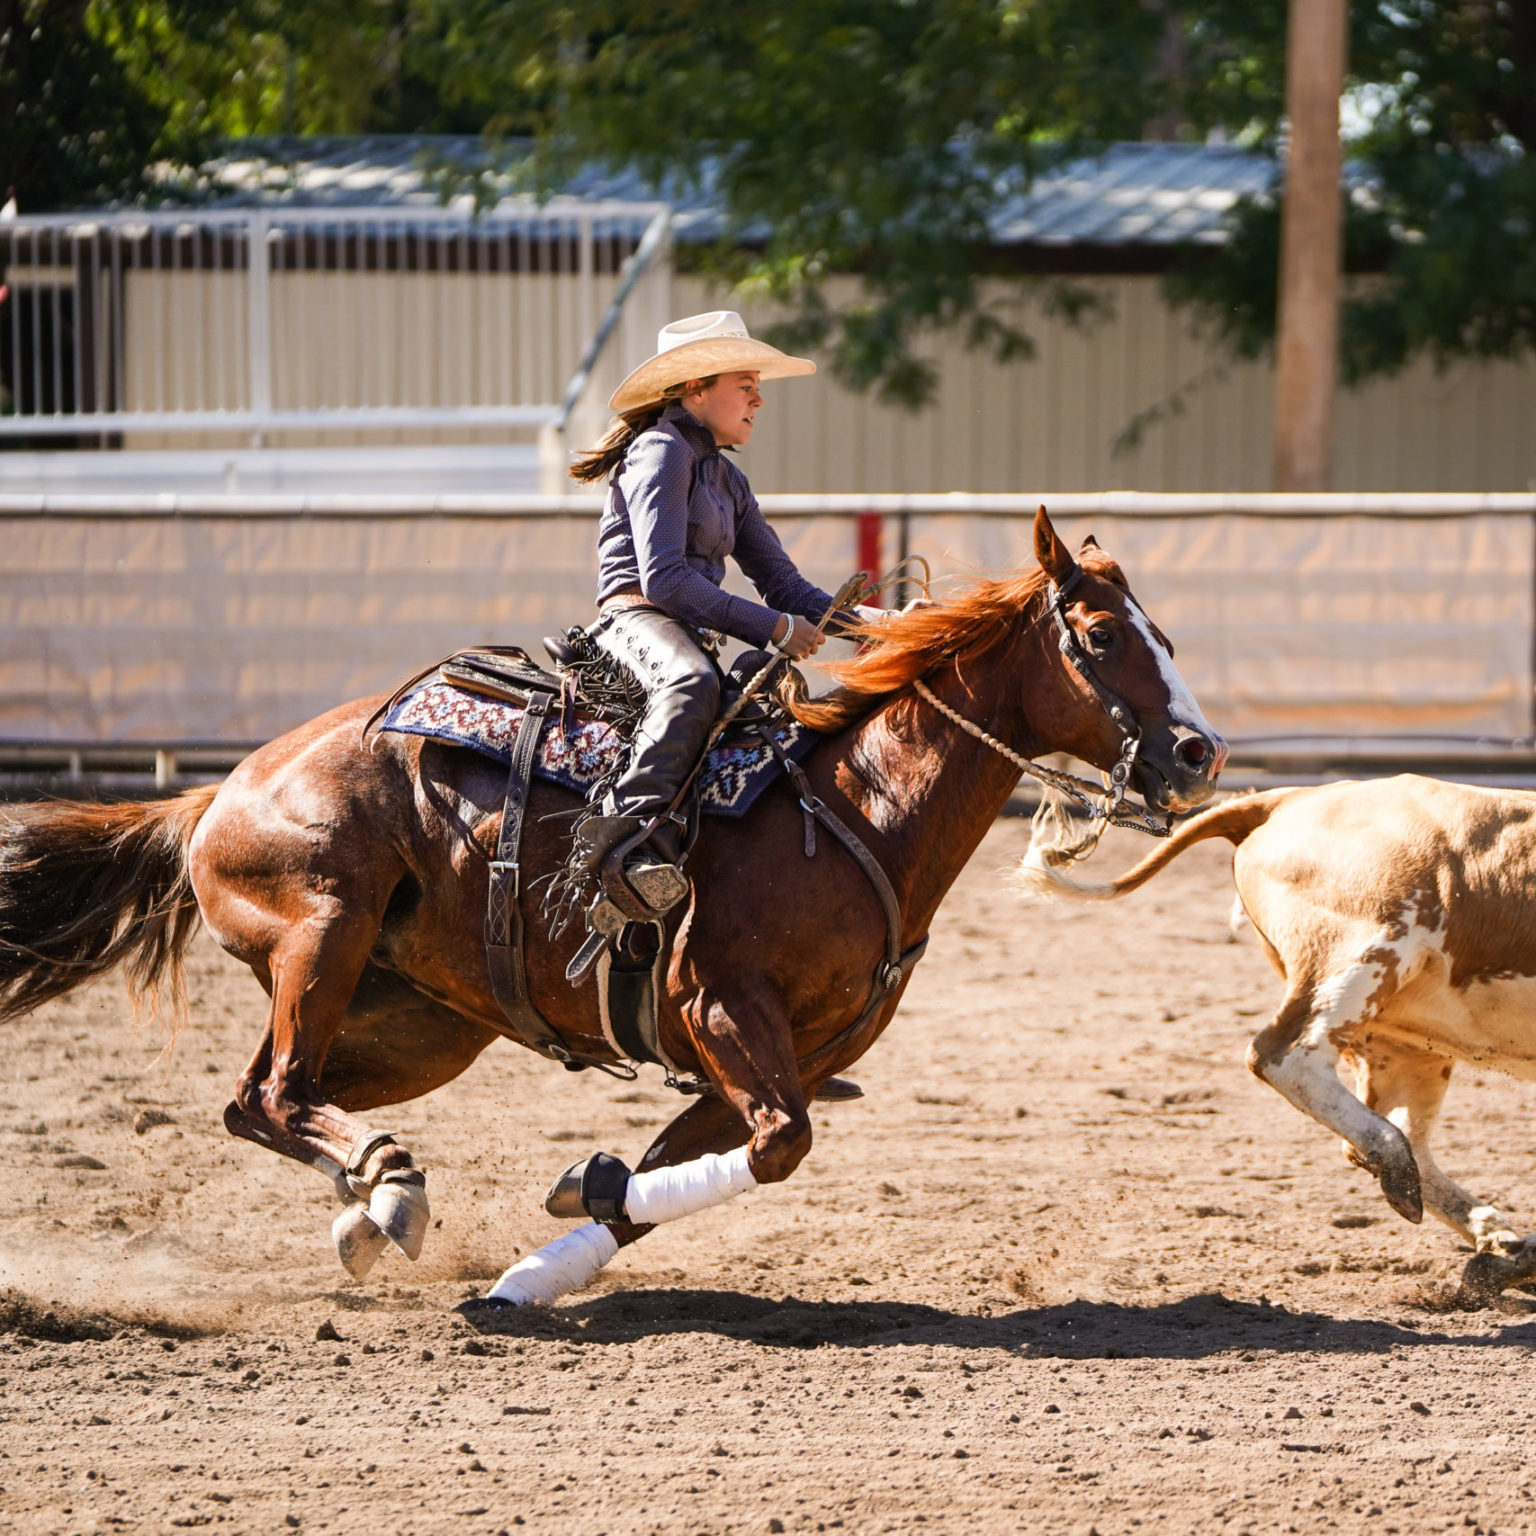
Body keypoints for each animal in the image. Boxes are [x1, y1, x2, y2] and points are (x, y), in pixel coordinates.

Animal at [0, 509, 1222, 1302]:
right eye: (1104, 636)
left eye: (1167, 635)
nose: (1200, 753)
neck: (856, 811)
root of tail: (220, 790)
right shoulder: (726, 1012)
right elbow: (780, 1150)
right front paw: (559, 1214)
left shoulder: (762, 1063)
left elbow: (649, 1186)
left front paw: (539, 1264)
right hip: (324, 932)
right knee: (276, 1091)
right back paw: (389, 1186)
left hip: (420, 1024)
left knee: (258, 1098)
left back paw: (365, 1203)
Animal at [1019, 780, 1536, 1296]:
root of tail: (1286, 797)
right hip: (1361, 951)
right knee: (1283, 1056)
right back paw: (1411, 1174)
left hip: (1407, 1041)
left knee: (1400, 1136)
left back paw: (1505, 1246)